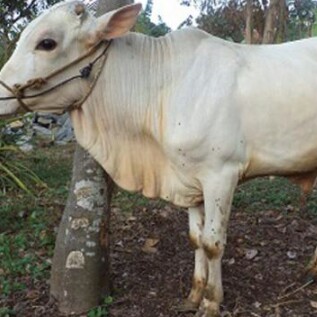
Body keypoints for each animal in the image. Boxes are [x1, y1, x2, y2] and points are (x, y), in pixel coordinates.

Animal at [0, 1, 316, 314]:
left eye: (47, 43)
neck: (162, 85)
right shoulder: (189, 177)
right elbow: (196, 239)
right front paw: (194, 294)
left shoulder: (221, 175)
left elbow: (213, 243)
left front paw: (211, 301)